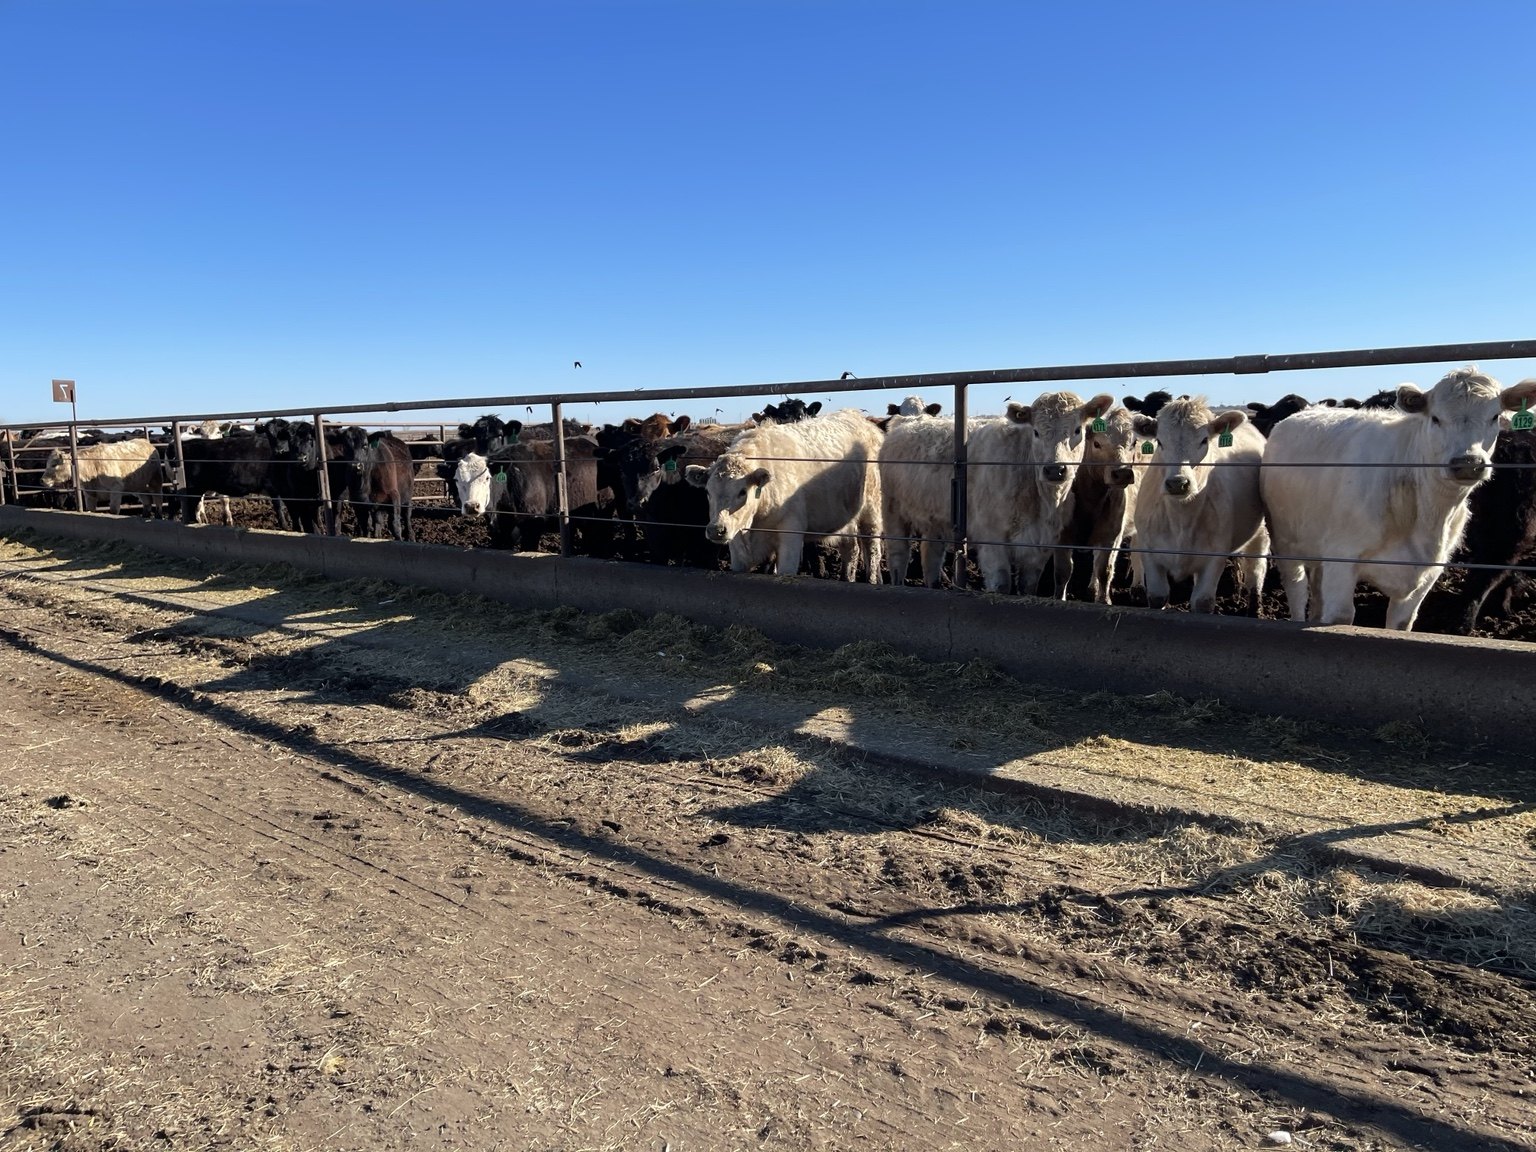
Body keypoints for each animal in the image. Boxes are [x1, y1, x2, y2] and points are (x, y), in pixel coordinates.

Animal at [685, 408, 882, 581]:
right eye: (708, 491)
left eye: (742, 491)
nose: (716, 530)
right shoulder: (737, 545)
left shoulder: (791, 534)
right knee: (851, 549)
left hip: (872, 510)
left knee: (872, 550)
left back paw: (872, 580)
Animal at [879, 392, 1114, 593]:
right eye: (1036, 432)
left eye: (1077, 430)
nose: (1055, 470)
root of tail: (910, 421)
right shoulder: (992, 539)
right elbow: (1002, 585)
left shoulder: (1039, 547)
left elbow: (1028, 587)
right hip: (892, 511)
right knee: (898, 556)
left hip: (934, 519)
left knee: (931, 556)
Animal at [1056, 405, 1140, 603]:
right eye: (1097, 444)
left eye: (1133, 443)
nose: (1122, 474)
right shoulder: (1062, 536)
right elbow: (1063, 571)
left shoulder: (1112, 535)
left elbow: (1105, 570)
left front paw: (1104, 601)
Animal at [1131, 397, 1268, 614]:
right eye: (1159, 441)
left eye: (1204, 440)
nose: (1178, 483)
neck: (1181, 518)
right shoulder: (1150, 552)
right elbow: (1157, 597)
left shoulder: (1215, 556)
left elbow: (1202, 602)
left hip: (1261, 532)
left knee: (1256, 570)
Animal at [1261, 367, 1536, 630]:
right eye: (1435, 418)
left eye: (1495, 417)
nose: (1468, 463)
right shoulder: (1341, 559)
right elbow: (1340, 617)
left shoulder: (1426, 575)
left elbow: (1401, 624)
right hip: (1286, 541)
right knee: (1297, 591)